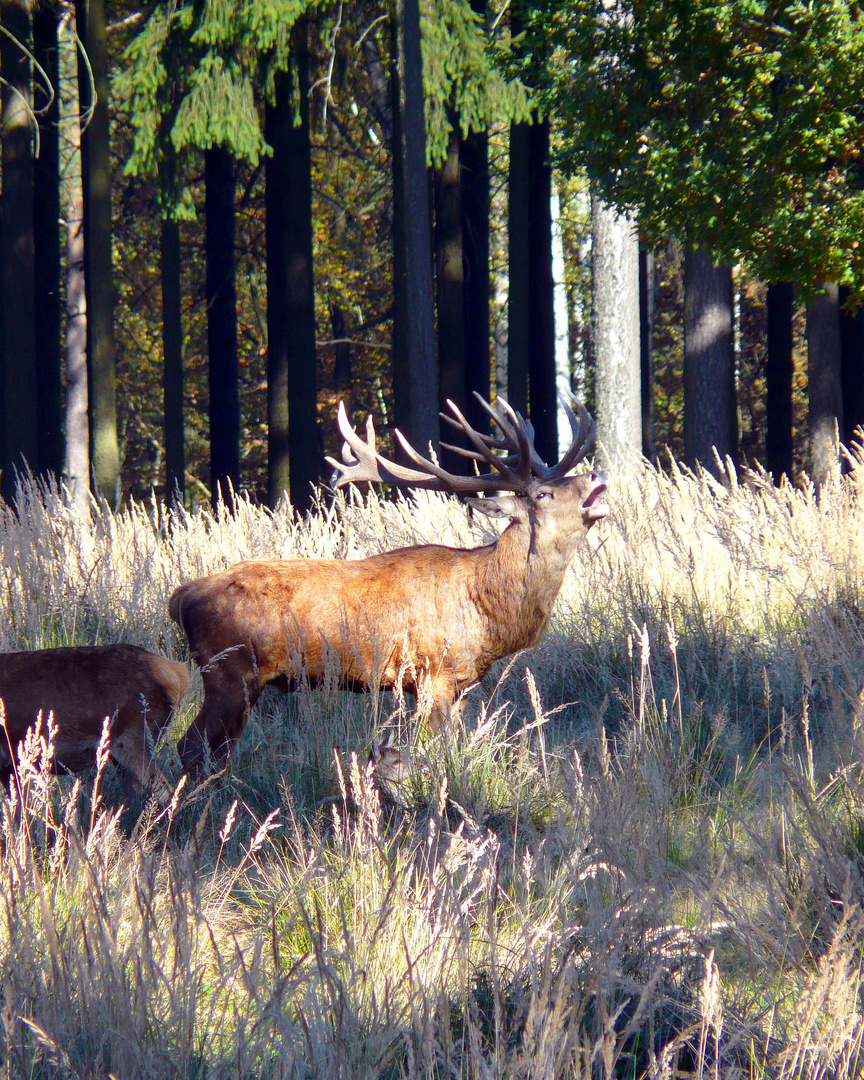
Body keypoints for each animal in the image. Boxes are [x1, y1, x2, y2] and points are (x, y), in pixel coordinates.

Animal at [167, 397, 600, 768]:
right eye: (543, 494)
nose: (596, 475)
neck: (486, 609)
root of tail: (181, 596)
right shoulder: (431, 672)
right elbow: (430, 749)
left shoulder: (459, 684)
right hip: (228, 672)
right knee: (190, 746)